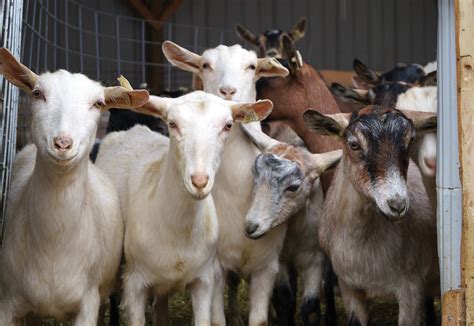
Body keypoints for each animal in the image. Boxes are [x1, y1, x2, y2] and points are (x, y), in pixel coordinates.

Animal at [95, 90, 274, 324]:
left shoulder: (204, 281)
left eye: (227, 126)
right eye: (172, 124)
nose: (199, 181)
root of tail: (133, 130)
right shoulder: (134, 284)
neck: (179, 230)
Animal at [162, 41, 288, 326]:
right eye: (205, 65)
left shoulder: (267, 265)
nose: (228, 91)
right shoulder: (214, 266)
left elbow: (259, 320)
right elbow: (217, 318)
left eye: (251, 66)